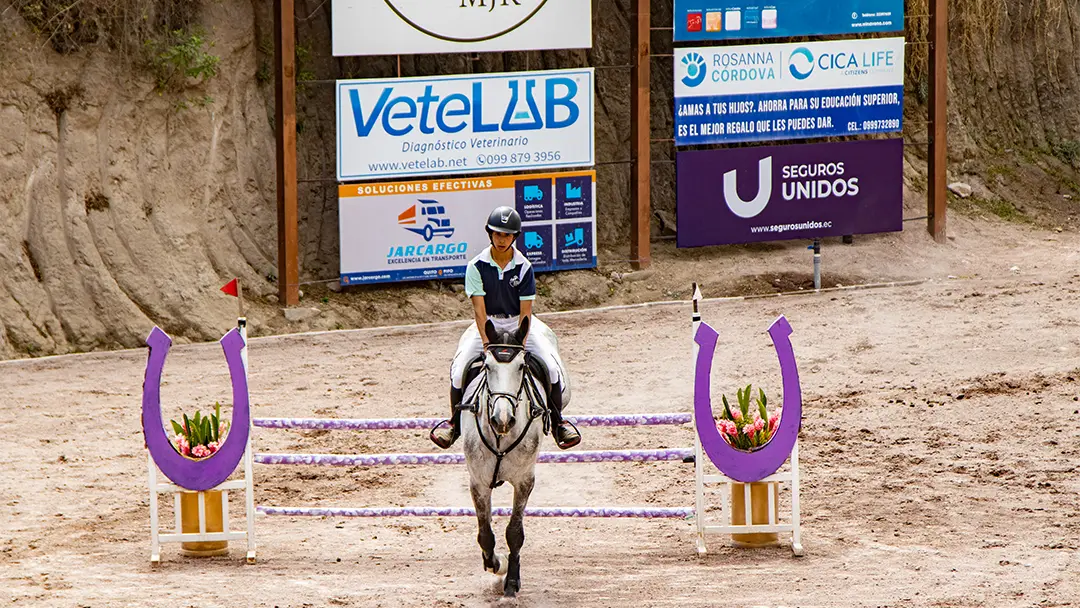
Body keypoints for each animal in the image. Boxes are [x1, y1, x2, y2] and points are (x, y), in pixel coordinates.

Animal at [460, 319, 548, 600]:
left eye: (521, 366)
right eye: (487, 366)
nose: (503, 419)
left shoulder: (524, 481)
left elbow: (514, 532)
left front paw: (511, 581)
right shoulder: (478, 482)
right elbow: (485, 534)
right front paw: (497, 565)